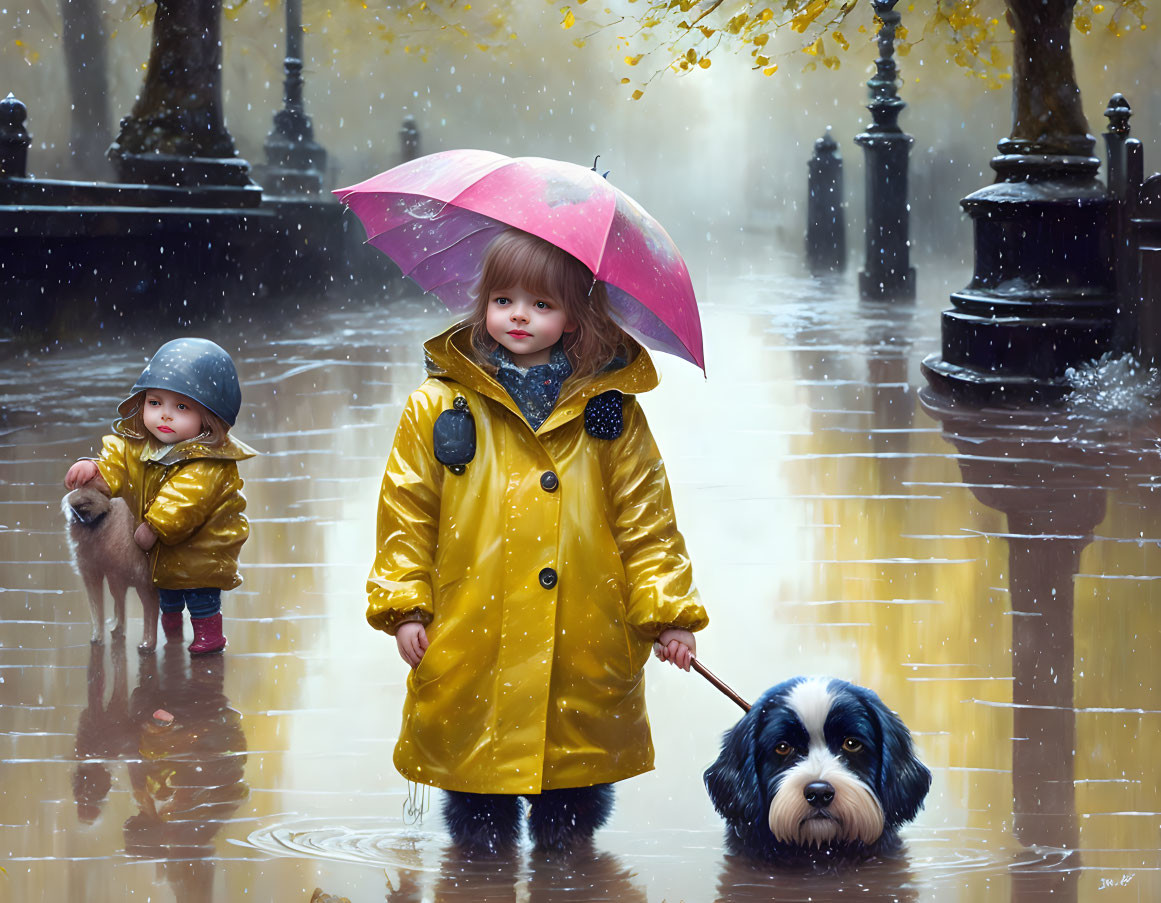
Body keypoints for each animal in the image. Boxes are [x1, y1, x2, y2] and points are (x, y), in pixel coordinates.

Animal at [62, 489, 159, 649]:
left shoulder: (114, 577)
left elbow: (110, 606)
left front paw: (108, 633)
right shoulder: (97, 574)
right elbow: (104, 607)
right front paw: (106, 632)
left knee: (150, 608)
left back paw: (147, 643)